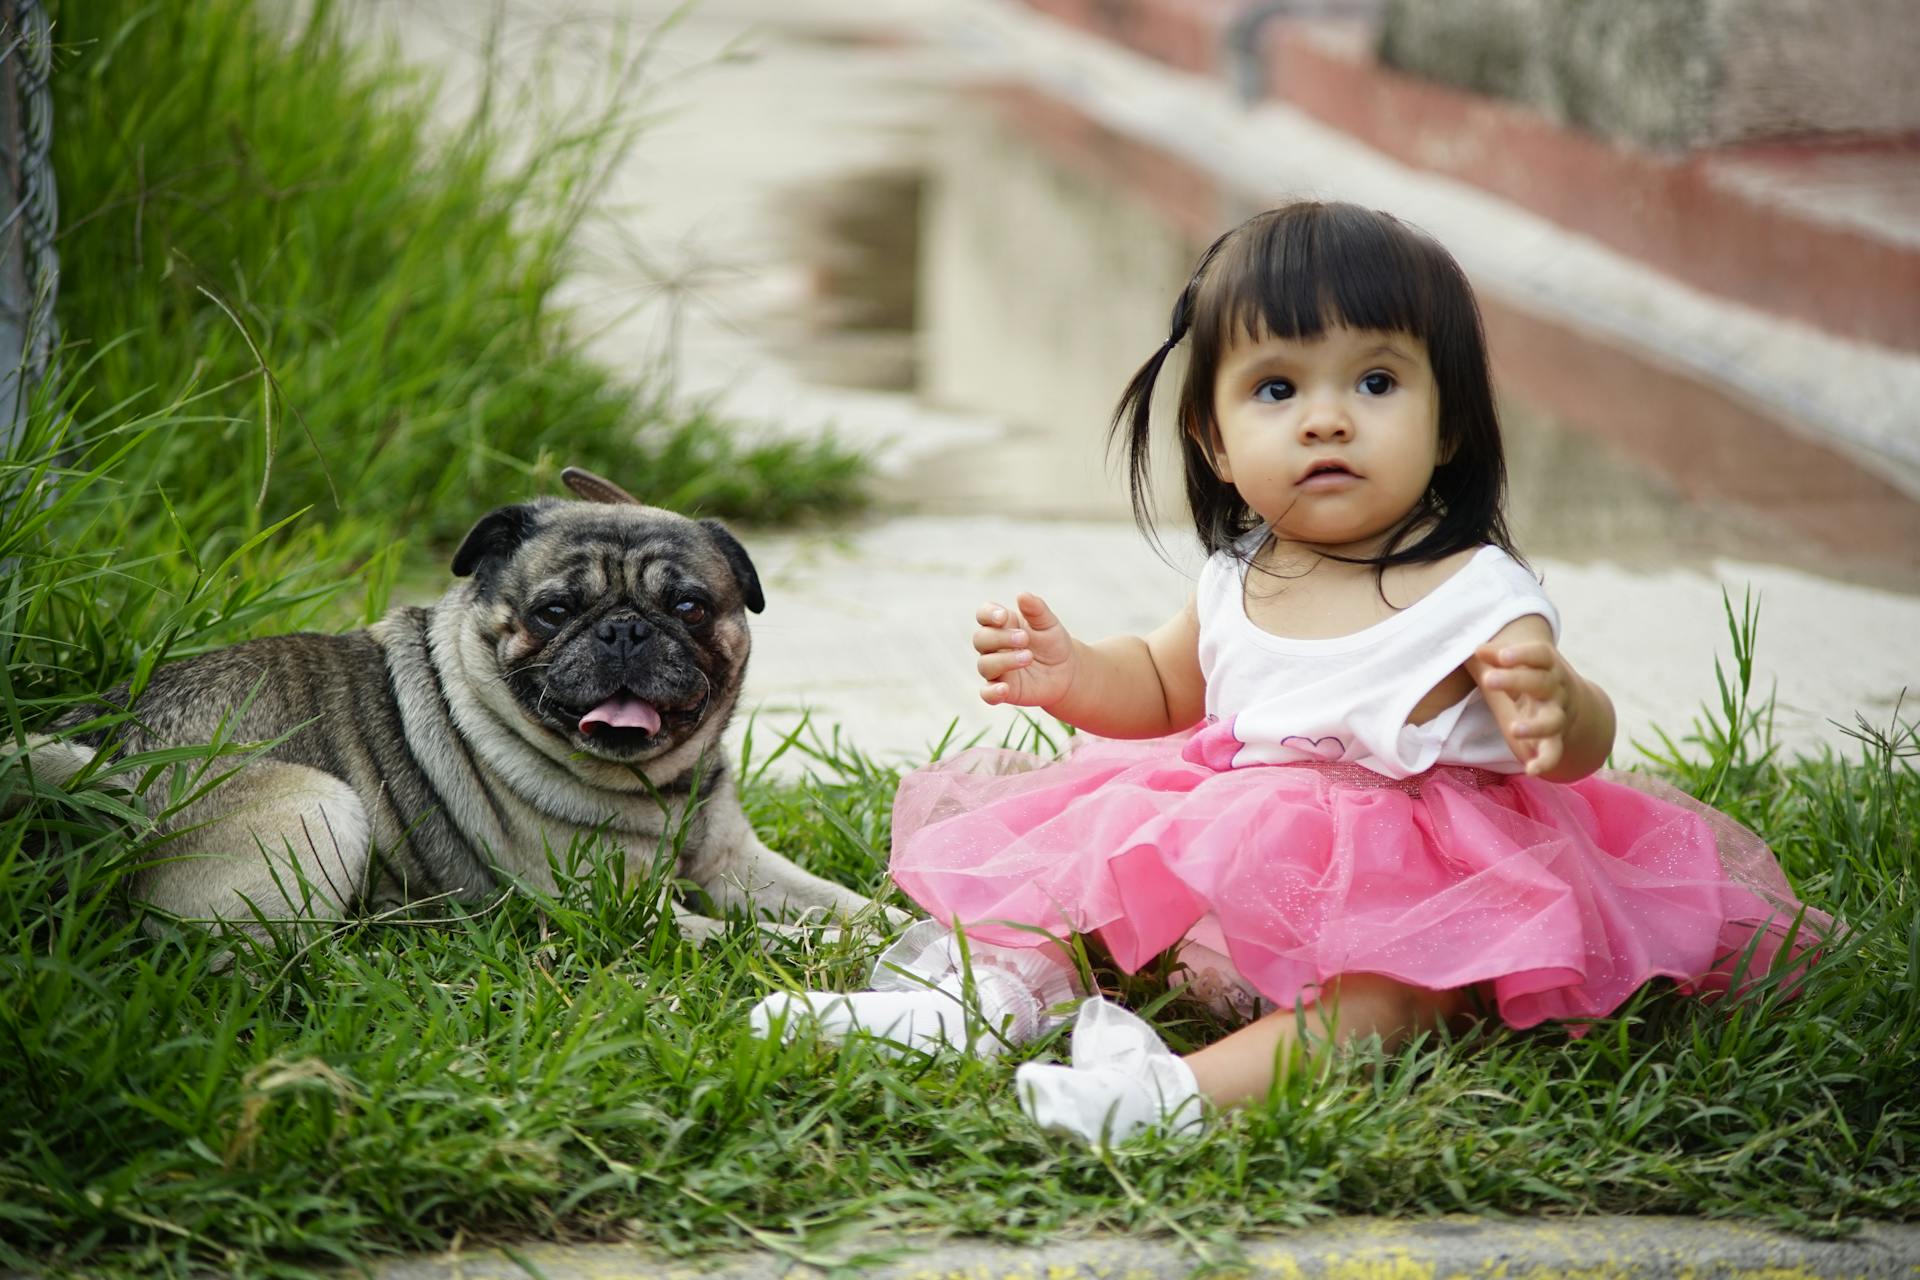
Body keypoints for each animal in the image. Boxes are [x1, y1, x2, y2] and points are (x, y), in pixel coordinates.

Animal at [18, 470, 875, 940]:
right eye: (554, 612)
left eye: (691, 608)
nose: (626, 630)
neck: (660, 790)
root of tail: (93, 765)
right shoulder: (630, 910)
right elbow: (767, 941)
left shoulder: (740, 864)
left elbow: (843, 905)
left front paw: (898, 924)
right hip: (323, 808)